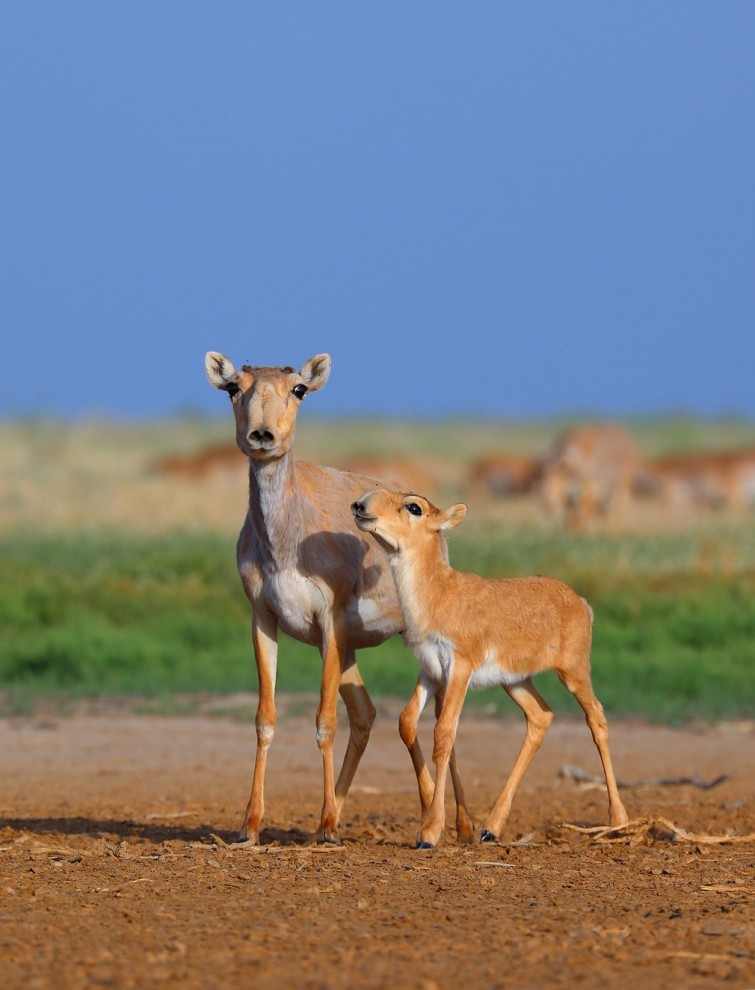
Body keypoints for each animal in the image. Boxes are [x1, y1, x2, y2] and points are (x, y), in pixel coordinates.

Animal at [201, 354, 472, 844]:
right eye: (234, 386)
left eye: (298, 389)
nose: (262, 436)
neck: (288, 540)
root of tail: (440, 525)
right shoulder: (264, 620)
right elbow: (265, 719)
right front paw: (251, 825)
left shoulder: (330, 623)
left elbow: (324, 721)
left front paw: (327, 824)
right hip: (348, 650)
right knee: (367, 714)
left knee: (440, 716)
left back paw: (460, 824)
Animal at [352, 488, 628, 852]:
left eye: (414, 507)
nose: (360, 505)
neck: (438, 593)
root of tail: (582, 603)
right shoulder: (430, 670)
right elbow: (407, 721)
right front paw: (436, 819)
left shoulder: (459, 667)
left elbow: (444, 732)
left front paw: (429, 833)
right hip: (515, 681)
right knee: (541, 716)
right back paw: (491, 828)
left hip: (574, 672)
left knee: (596, 717)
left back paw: (618, 821)